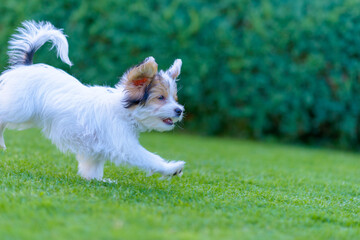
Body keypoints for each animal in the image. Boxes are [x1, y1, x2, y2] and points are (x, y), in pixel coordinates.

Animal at [0, 21, 186, 180]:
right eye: (160, 98)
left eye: (175, 98)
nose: (180, 110)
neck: (124, 111)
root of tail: (25, 66)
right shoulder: (126, 145)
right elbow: (149, 158)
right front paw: (172, 168)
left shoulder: (94, 151)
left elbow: (92, 168)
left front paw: (97, 180)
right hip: (20, 110)